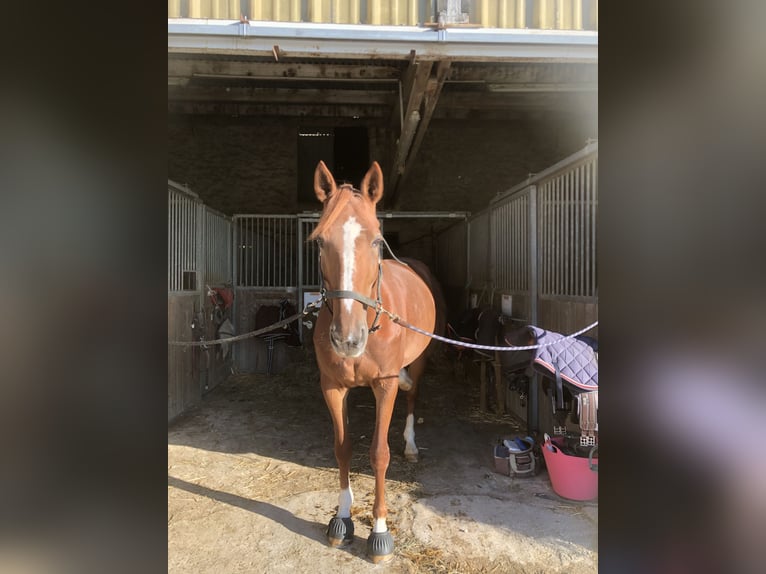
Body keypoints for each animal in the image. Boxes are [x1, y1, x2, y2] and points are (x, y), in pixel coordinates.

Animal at [308, 160, 438, 564]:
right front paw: (342, 519)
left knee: (412, 396)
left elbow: (379, 454)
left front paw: (379, 531)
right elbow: (343, 448)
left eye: (377, 241)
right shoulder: (332, 387)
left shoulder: (384, 384)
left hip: (421, 360)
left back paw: (411, 444)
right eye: (320, 241)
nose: (348, 339)